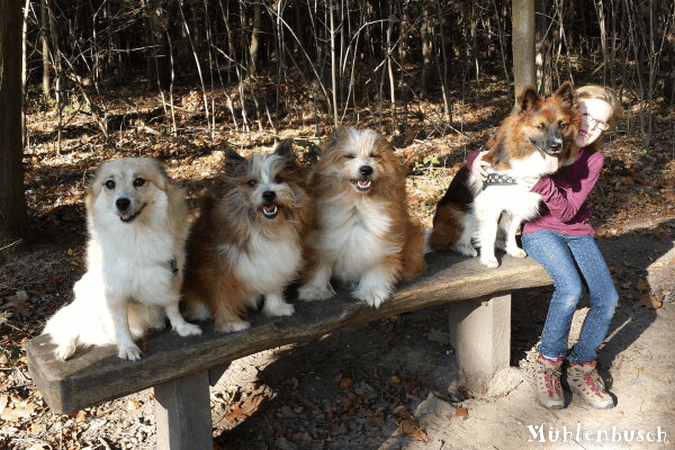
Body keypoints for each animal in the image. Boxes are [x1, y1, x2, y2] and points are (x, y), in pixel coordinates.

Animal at [41, 156, 201, 360]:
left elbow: (172, 306)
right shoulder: (115, 292)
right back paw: (65, 348)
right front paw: (127, 347)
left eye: (139, 181)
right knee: (70, 328)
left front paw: (182, 327)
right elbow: (121, 324)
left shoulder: (172, 276)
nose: (122, 202)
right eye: (110, 184)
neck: (137, 234)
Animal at [430, 81, 580, 268]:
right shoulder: (489, 205)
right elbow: (489, 234)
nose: (556, 146)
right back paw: (467, 249)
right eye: (540, 126)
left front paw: (511, 248)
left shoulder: (517, 203)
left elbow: (511, 229)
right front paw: (488, 258)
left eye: (562, 125)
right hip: (461, 214)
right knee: (454, 242)